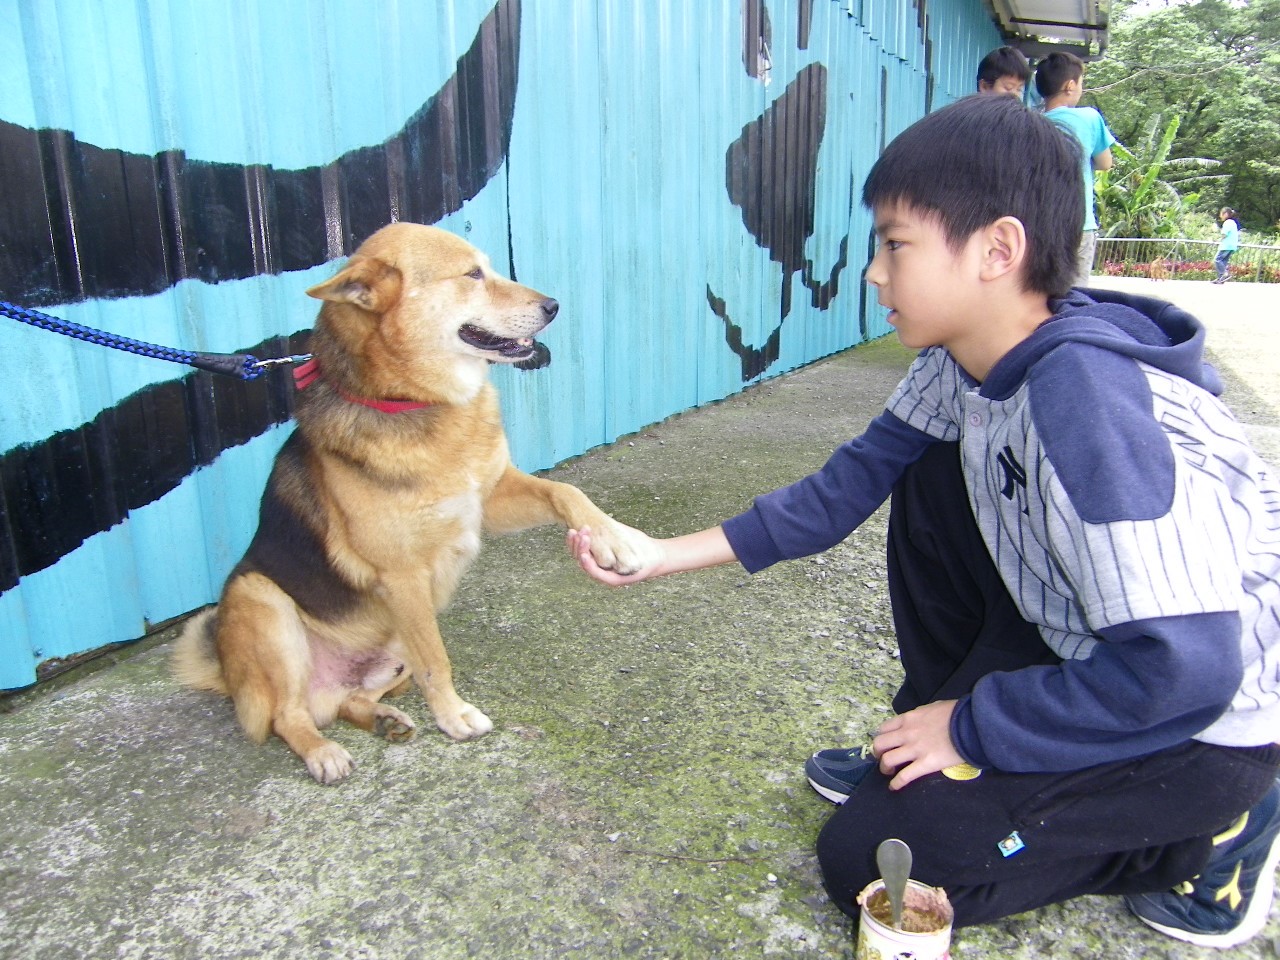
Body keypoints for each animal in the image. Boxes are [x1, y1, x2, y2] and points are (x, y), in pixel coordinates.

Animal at [175, 221, 655, 783]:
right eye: (472, 274)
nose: (554, 305)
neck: (416, 403)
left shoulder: (487, 499)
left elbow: (567, 490)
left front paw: (615, 539)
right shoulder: (403, 577)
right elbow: (436, 659)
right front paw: (453, 715)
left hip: (387, 646)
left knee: (349, 701)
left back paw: (382, 718)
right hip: (264, 603)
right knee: (286, 715)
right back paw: (322, 751)